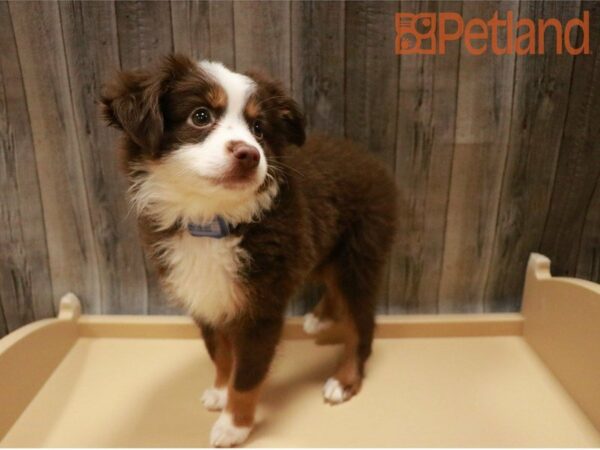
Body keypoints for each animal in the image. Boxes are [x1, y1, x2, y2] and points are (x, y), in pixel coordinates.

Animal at [100, 53, 396, 446]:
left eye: (258, 128)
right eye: (200, 116)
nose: (249, 154)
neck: (212, 222)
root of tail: (372, 162)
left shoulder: (262, 308)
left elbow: (248, 374)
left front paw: (233, 426)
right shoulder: (206, 297)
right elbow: (221, 355)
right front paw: (219, 392)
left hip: (359, 256)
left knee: (362, 324)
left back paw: (344, 380)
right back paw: (320, 318)